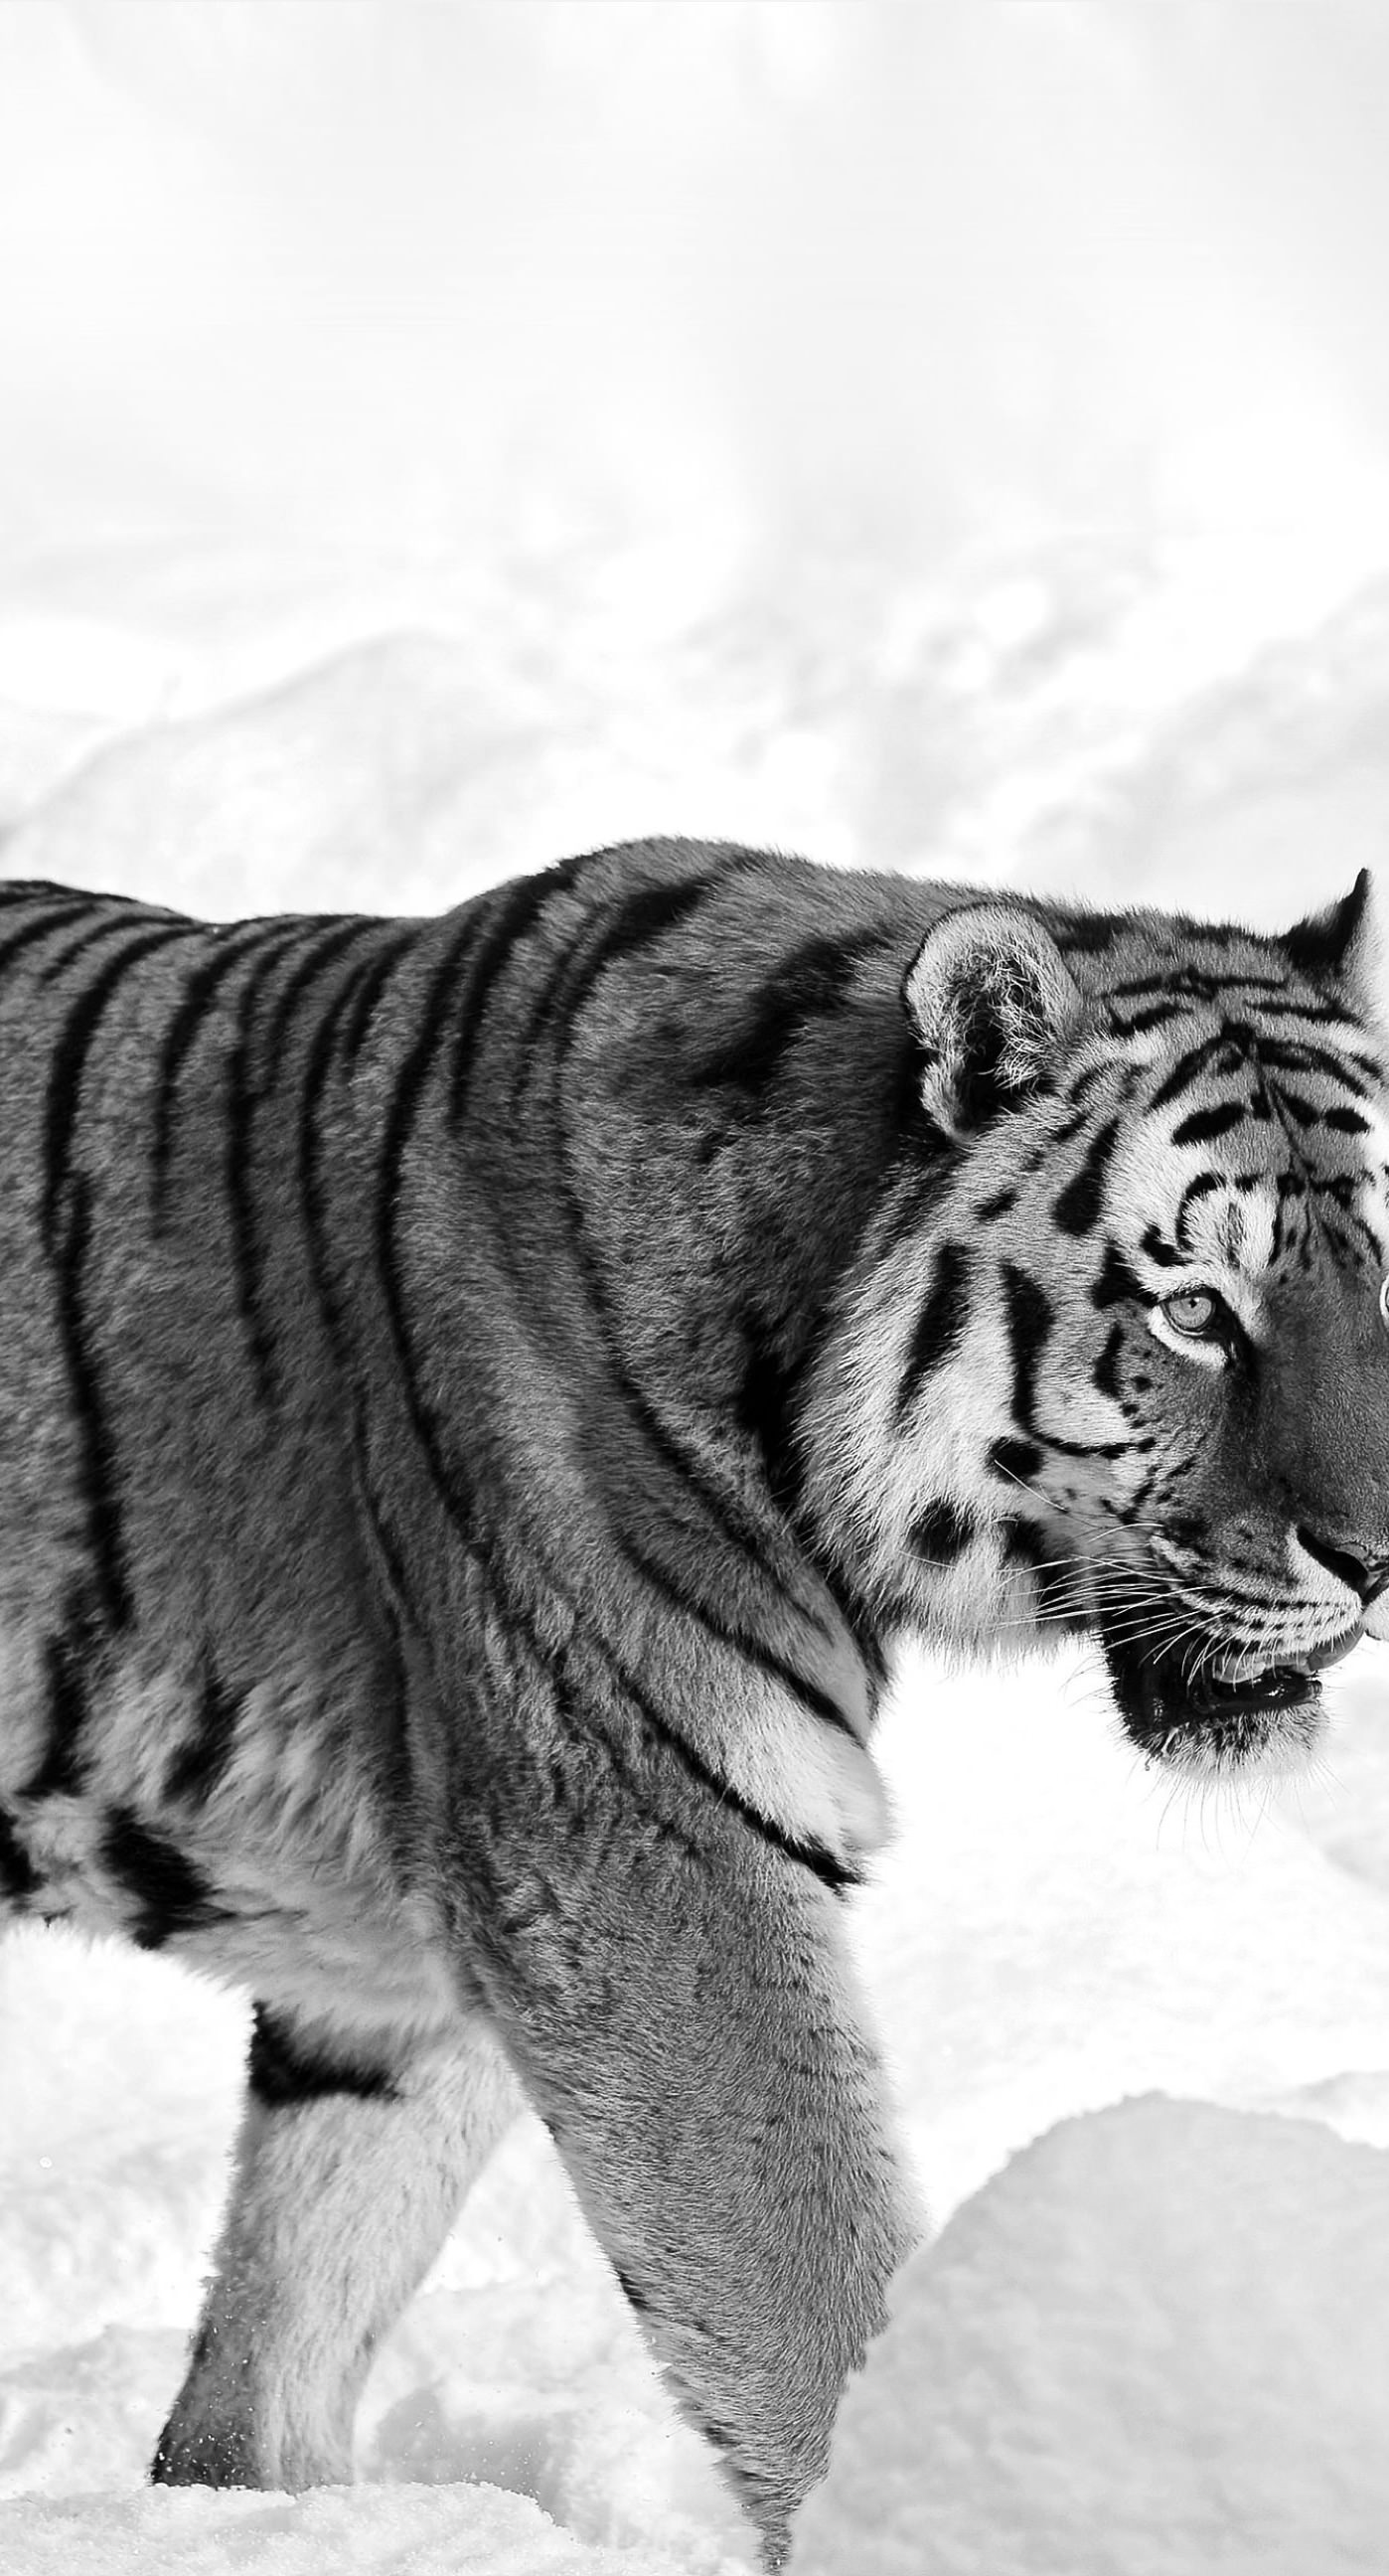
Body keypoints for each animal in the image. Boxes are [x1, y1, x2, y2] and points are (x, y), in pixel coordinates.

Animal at [1, 837, 1387, 2569]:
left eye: (1384, 1280)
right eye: (1192, 1309)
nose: (1380, 1560)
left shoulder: (420, 1954)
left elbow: (285, 2323)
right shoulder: (647, 1861)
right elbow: (820, 2300)